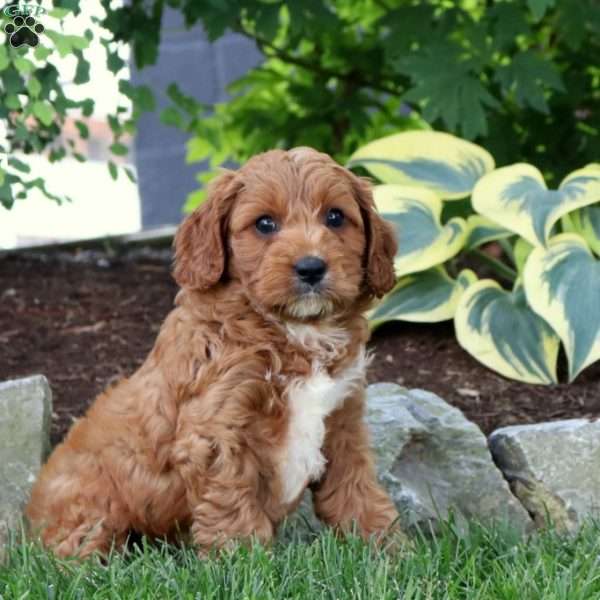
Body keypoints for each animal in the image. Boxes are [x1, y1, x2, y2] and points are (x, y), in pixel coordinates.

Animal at [25, 146, 400, 556]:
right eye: (265, 223)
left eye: (335, 217)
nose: (311, 267)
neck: (294, 330)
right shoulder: (216, 428)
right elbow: (232, 502)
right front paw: (247, 560)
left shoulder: (343, 421)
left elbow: (355, 488)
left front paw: (384, 547)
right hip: (90, 510)